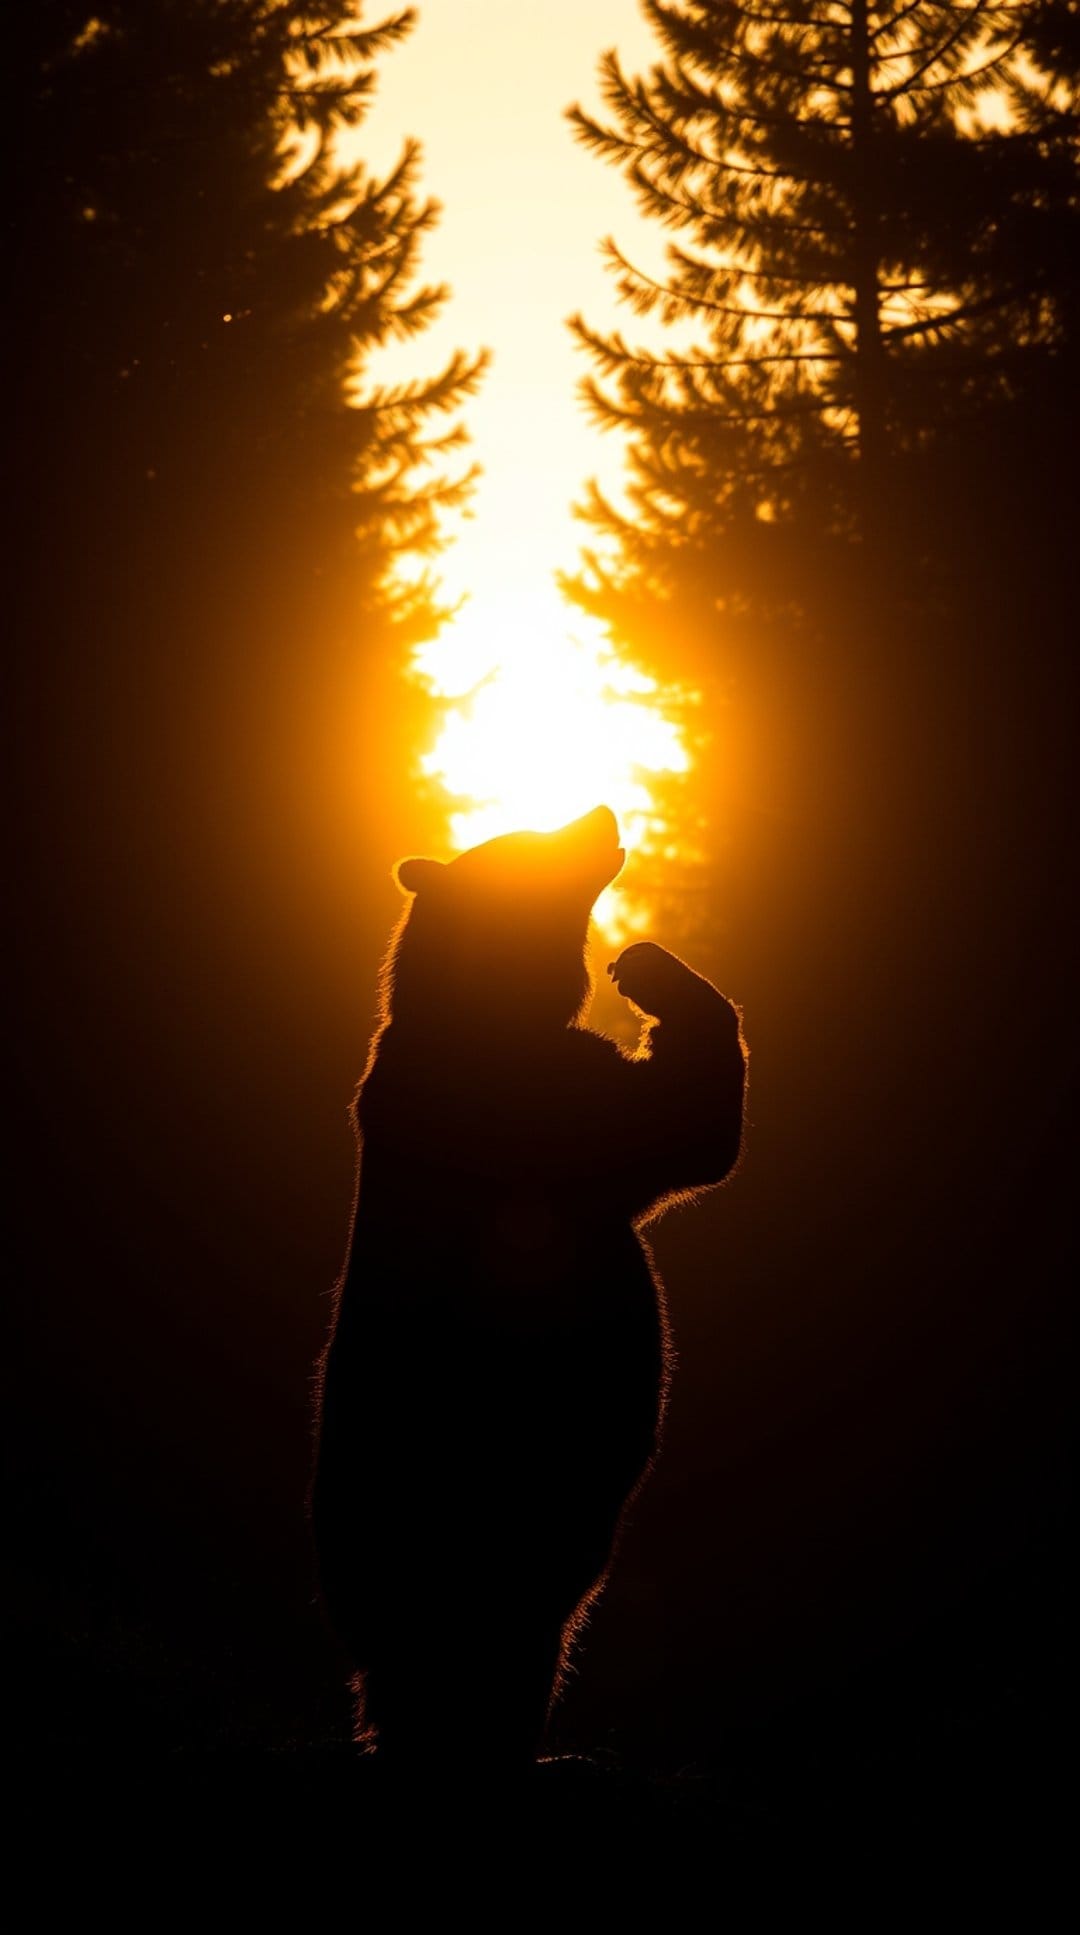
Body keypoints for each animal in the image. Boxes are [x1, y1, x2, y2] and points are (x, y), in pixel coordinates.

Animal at [311, 803, 746, 1772]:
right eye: (529, 842)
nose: (603, 809)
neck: (486, 1008)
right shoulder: (534, 1108)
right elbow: (683, 1127)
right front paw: (647, 967)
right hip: (476, 1508)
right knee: (498, 1638)